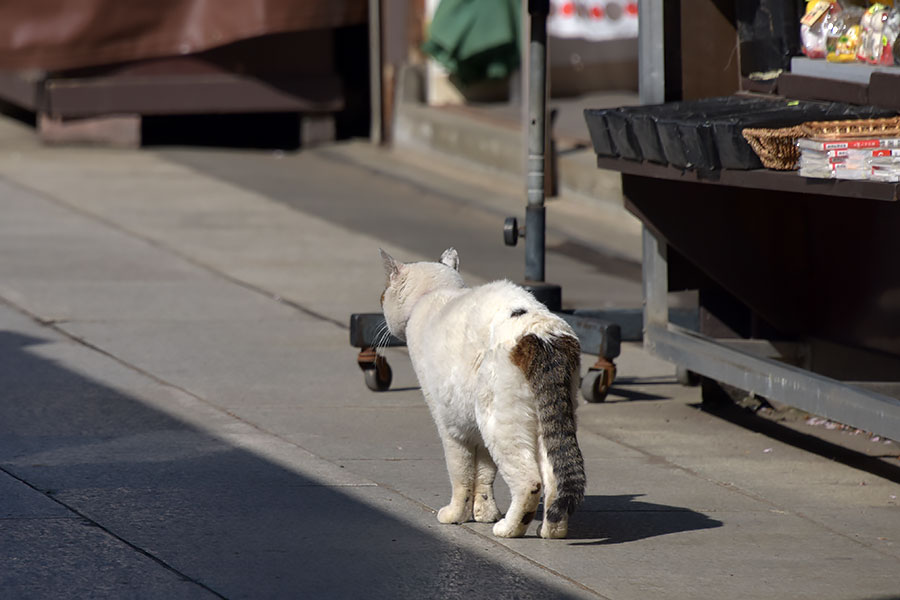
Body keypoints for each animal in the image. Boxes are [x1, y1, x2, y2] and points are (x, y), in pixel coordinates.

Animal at [378, 248, 584, 540]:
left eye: (383, 295)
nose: (381, 304)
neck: (435, 294)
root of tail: (542, 331)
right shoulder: (476, 430)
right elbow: (485, 474)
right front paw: (484, 513)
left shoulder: (451, 426)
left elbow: (461, 475)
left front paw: (456, 515)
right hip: (549, 420)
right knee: (554, 478)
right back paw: (552, 530)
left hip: (499, 422)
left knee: (529, 481)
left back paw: (509, 529)